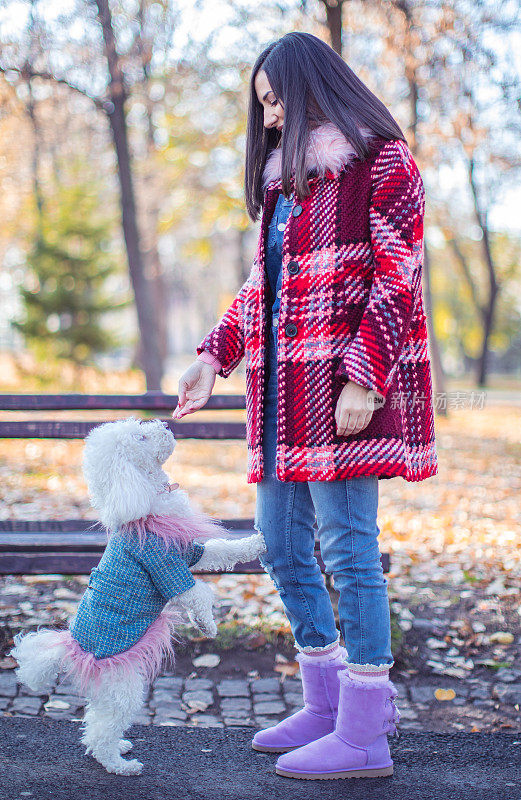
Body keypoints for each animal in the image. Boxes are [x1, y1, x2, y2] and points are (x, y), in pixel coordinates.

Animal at [10, 418, 266, 776]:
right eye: (142, 437)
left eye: (139, 428)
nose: (164, 424)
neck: (144, 501)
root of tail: (75, 649)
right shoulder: (167, 568)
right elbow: (198, 595)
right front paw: (208, 627)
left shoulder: (190, 551)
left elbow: (220, 549)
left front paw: (255, 544)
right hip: (124, 684)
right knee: (103, 730)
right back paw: (120, 764)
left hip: (112, 687)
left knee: (96, 721)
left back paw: (117, 747)